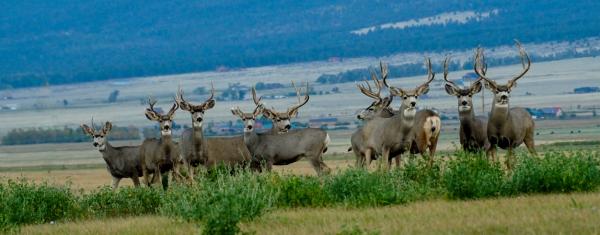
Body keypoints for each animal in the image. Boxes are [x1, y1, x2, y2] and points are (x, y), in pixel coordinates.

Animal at [474, 40, 540, 169]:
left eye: (508, 90)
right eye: (496, 90)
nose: (504, 96)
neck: (500, 127)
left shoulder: (511, 141)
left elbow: (509, 164)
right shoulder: (492, 141)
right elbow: (496, 162)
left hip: (529, 135)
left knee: (534, 156)